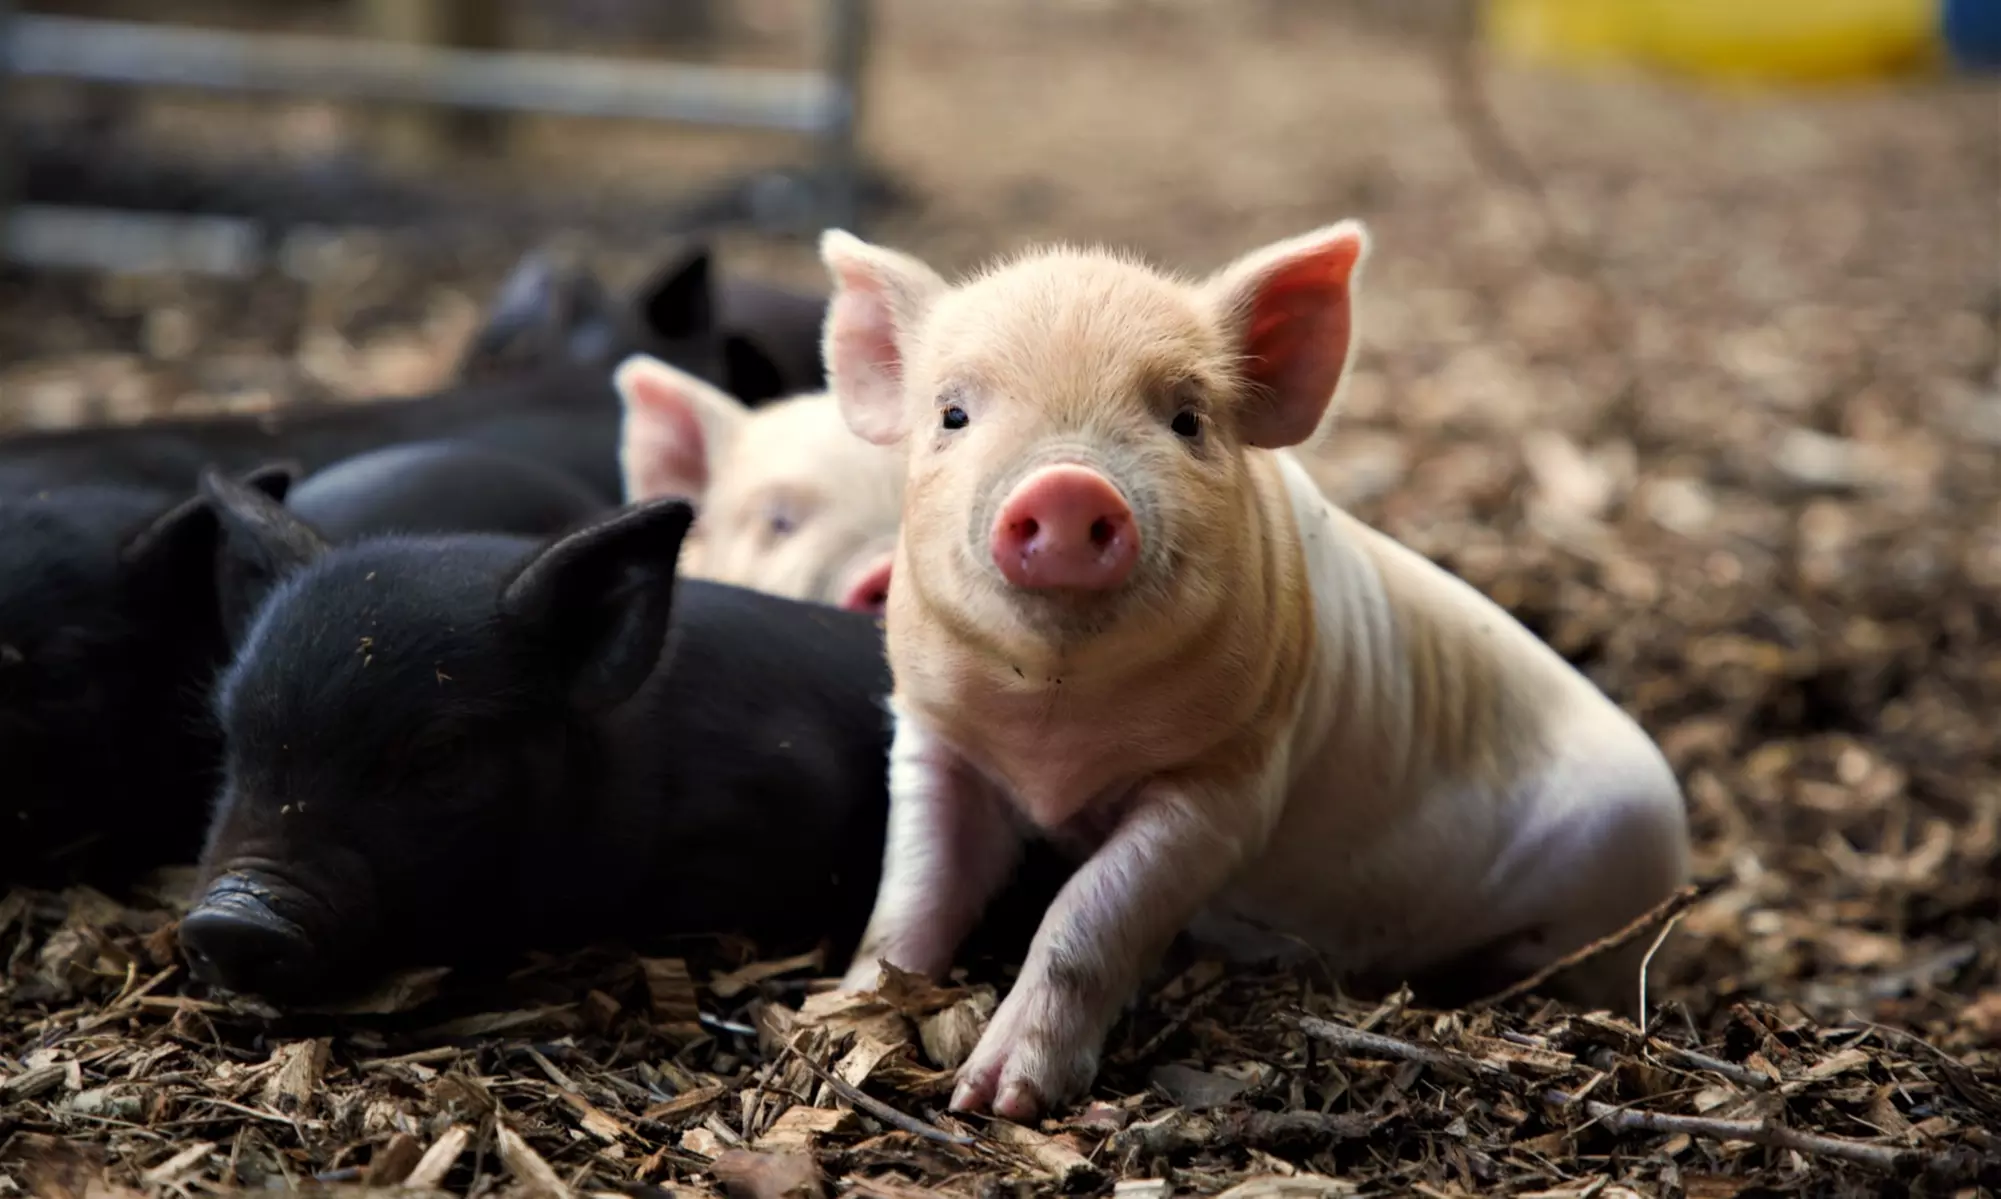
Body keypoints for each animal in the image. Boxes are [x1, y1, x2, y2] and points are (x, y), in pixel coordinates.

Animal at [814, 222, 1693, 1120]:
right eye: (951, 414)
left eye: (1187, 419)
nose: (1066, 487)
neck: (1053, 734)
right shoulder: (934, 740)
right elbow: (912, 891)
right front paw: (840, 1021)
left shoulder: (1231, 782)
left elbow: (1089, 912)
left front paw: (1001, 1100)